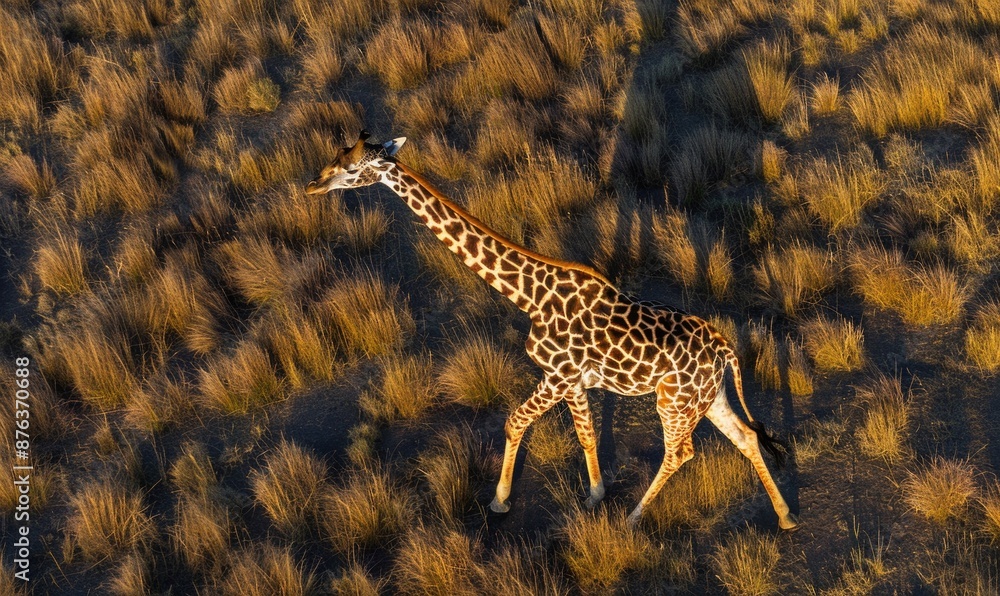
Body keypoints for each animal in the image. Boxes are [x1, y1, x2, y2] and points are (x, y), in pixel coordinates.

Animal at [306, 131, 798, 529]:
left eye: (353, 169)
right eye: (337, 154)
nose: (313, 184)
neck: (530, 296)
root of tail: (724, 348)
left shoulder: (557, 376)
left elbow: (514, 421)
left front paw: (500, 501)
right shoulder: (574, 382)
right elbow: (585, 433)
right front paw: (595, 493)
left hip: (674, 402)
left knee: (681, 452)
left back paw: (634, 517)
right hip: (705, 397)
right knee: (746, 436)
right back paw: (785, 516)